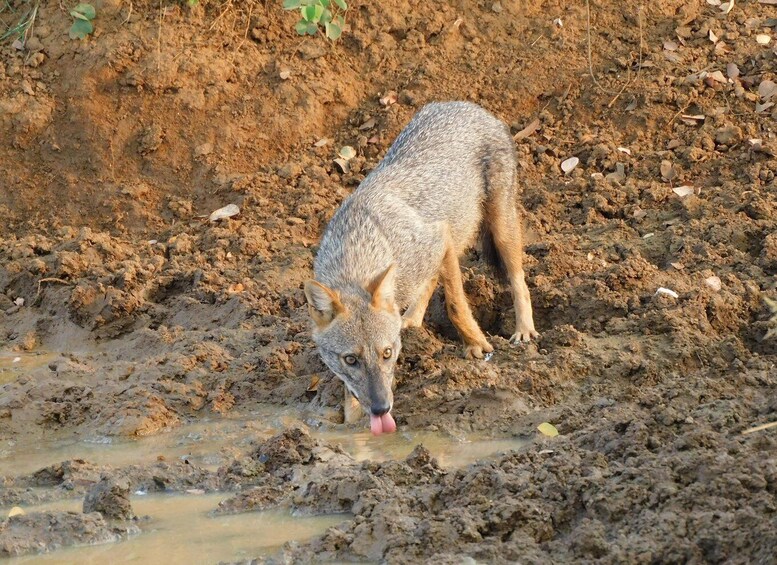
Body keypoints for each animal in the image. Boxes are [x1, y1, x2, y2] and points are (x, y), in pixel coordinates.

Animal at [303, 101, 538, 435]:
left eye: (387, 353)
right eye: (350, 360)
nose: (381, 408)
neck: (361, 244)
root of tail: (467, 105)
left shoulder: (441, 237)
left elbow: (455, 305)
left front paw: (478, 346)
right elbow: (350, 394)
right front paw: (354, 422)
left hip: (501, 228)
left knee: (518, 279)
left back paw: (524, 330)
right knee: (426, 284)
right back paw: (411, 321)